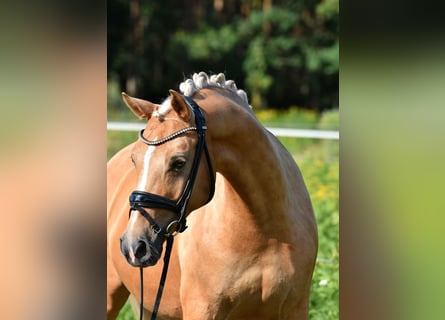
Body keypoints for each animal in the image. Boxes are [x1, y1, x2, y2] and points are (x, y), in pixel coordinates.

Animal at [106, 73, 316, 320]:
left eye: (179, 162)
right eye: (134, 159)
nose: (133, 245)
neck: (265, 229)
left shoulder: (296, 307)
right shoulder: (203, 309)